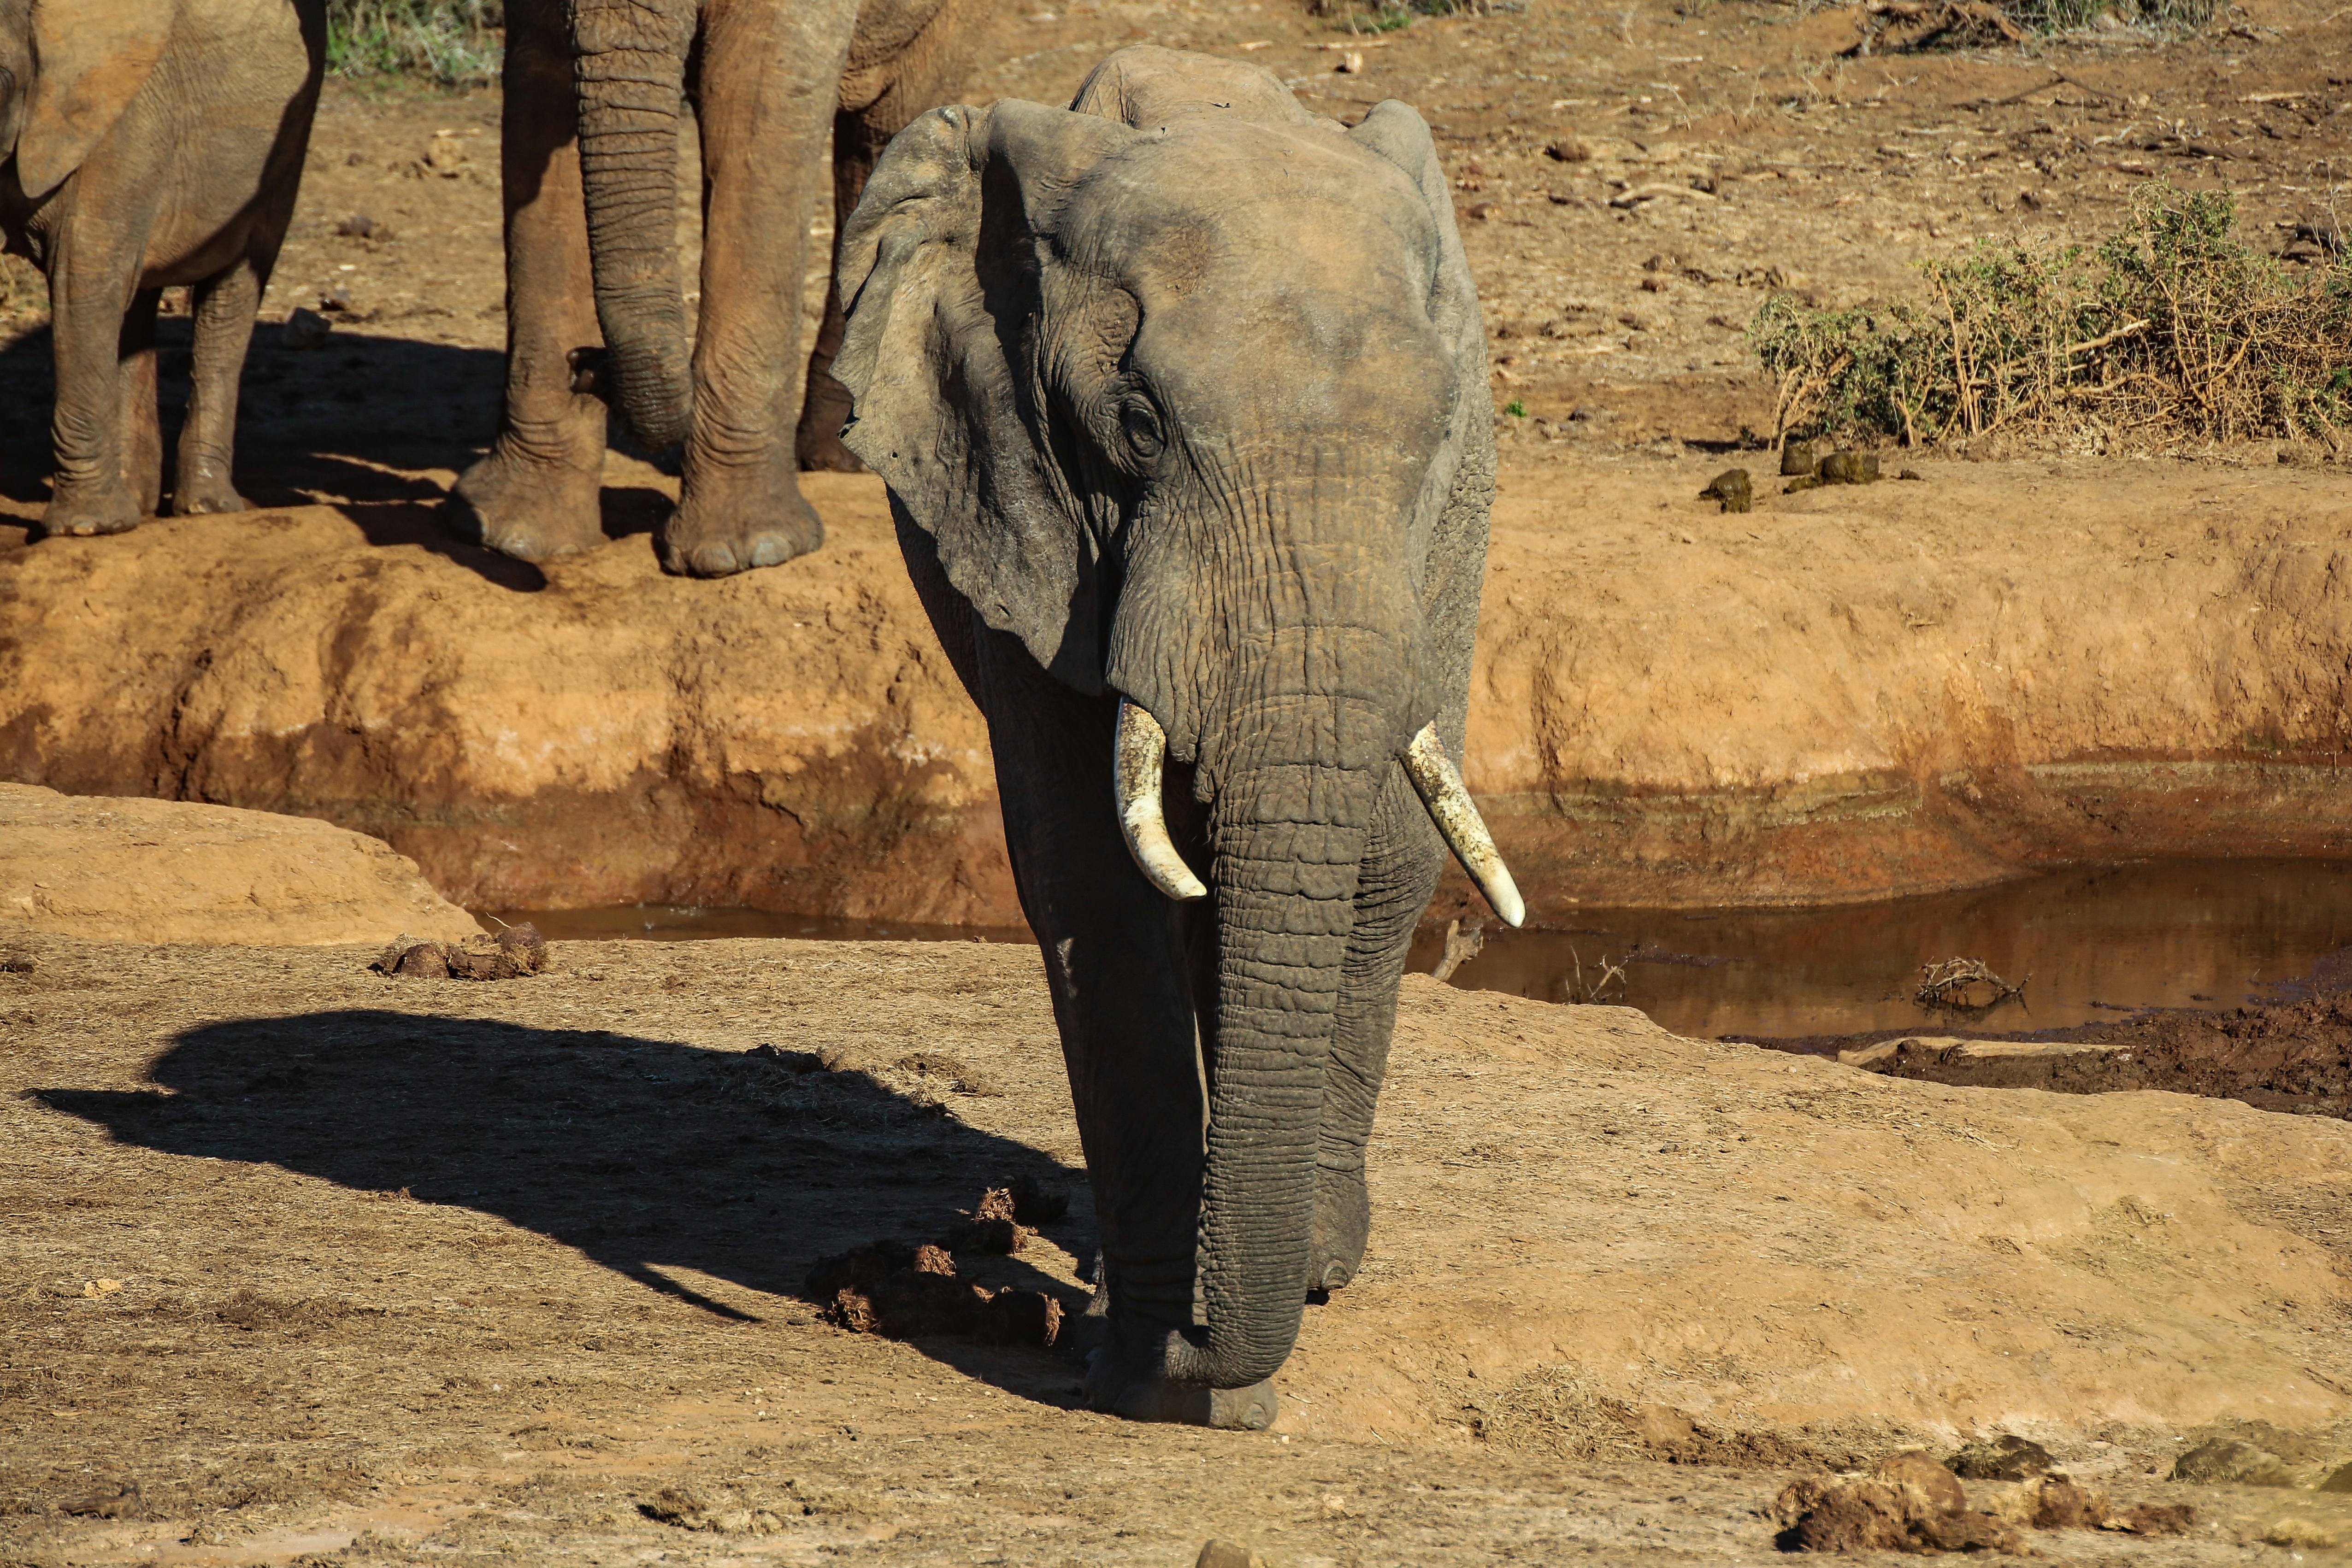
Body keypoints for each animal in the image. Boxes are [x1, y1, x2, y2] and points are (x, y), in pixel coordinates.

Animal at [1, 0, 323, 539]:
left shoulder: (120, 118)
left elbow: (82, 279)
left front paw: (85, 529)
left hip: (288, 139)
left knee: (229, 295)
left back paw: (204, 508)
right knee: (135, 303)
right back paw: (137, 505)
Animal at [451, 0, 981, 578]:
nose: (586, 365)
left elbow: (756, 104)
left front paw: (746, 554)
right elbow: (539, 92)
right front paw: (511, 535)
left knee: (891, 128)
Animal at [832, 45, 1527, 1427]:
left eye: (1426, 437)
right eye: (1139, 426)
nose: (1207, 1350)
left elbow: (1336, 860)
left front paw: (1193, 1338)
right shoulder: (1013, 492)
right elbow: (1094, 885)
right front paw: (1144, 1351)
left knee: (1385, 855)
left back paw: (1315, 1259)